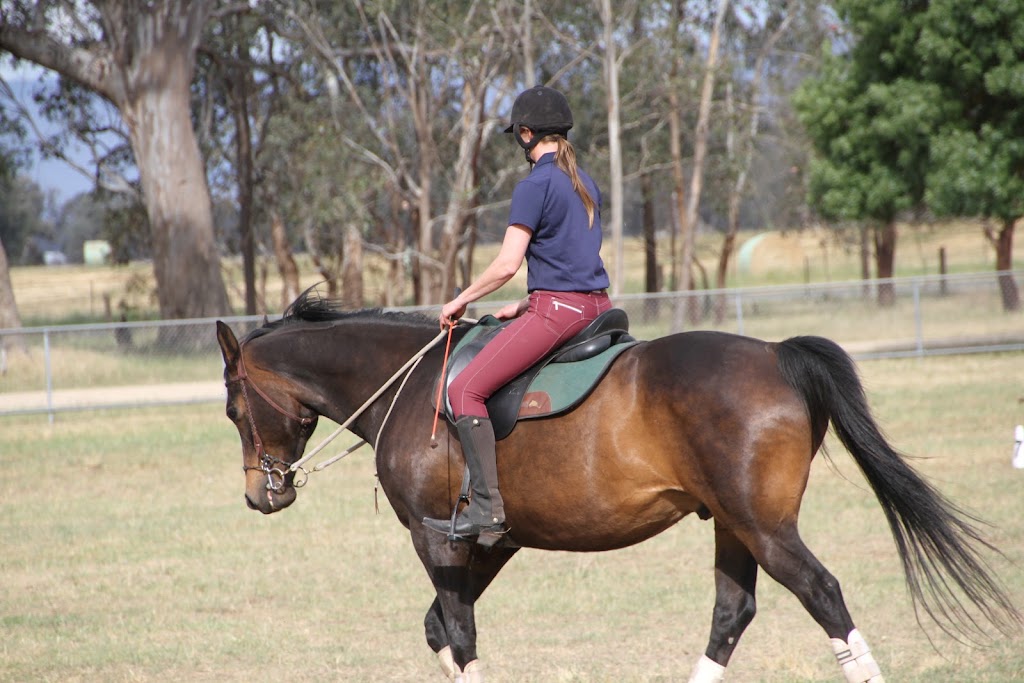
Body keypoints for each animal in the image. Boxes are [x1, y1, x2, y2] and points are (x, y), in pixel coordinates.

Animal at [215, 290, 1019, 682]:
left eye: (232, 409)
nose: (262, 495)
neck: (408, 386)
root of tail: (776, 354)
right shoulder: (494, 542)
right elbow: (441, 629)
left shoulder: (437, 537)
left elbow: (459, 634)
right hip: (733, 525)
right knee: (731, 613)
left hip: (765, 527)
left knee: (823, 595)